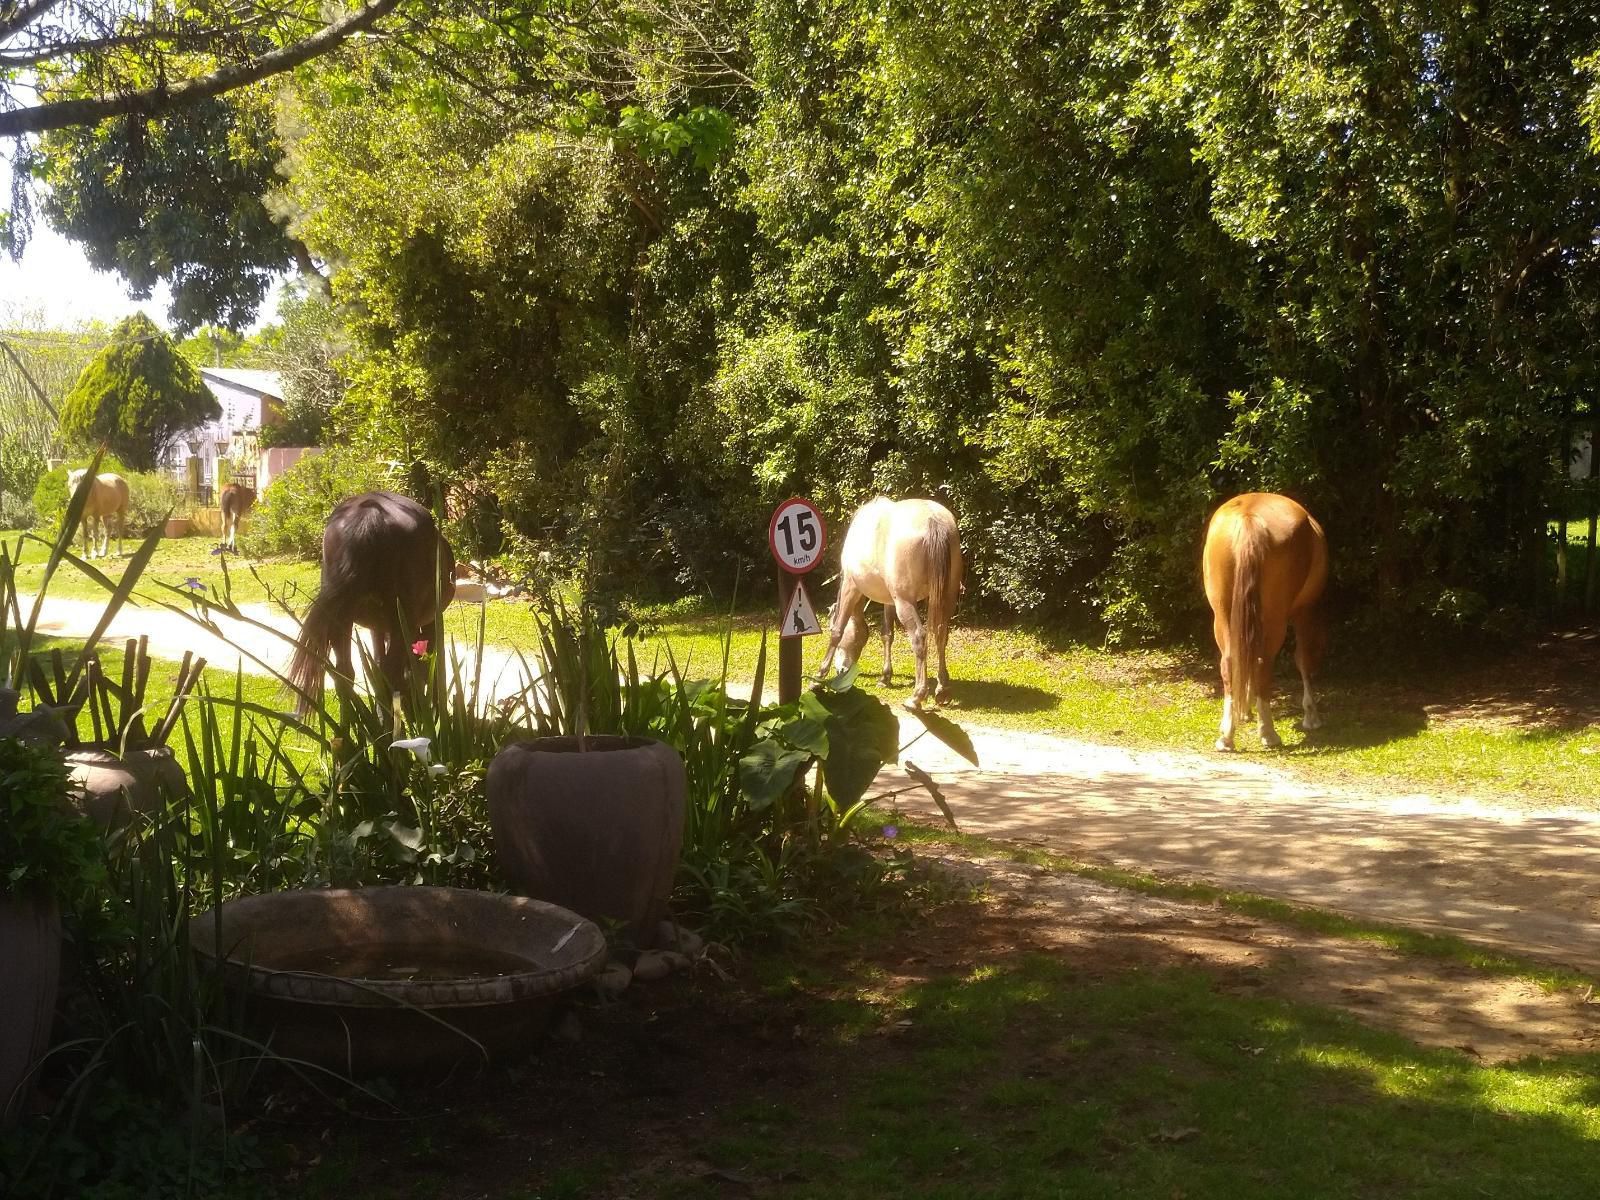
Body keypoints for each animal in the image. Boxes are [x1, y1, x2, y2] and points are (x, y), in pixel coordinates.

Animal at [286, 489, 457, 713]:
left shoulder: (378, 625)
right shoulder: (429, 622)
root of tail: (368, 515)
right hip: (403, 619)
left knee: (346, 674)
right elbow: (428, 667)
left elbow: (379, 661)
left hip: (343, 617)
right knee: (391, 675)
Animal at [819, 496, 953, 710]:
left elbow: (837, 631)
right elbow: (887, 635)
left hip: (905, 603)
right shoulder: (889, 601)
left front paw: (819, 675)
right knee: (941, 634)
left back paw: (917, 697)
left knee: (919, 637)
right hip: (944, 597)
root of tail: (933, 520)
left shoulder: (850, 587)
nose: (841, 669)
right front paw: (885, 677)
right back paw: (942, 690)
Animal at [1203, 489, 1324, 752]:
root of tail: (1248, 517)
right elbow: (1303, 659)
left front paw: (1245, 710)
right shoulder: (1305, 611)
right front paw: (1311, 716)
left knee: (1231, 662)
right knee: (1262, 663)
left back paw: (1227, 736)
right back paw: (1268, 733)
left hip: (1222, 615)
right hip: (1275, 618)